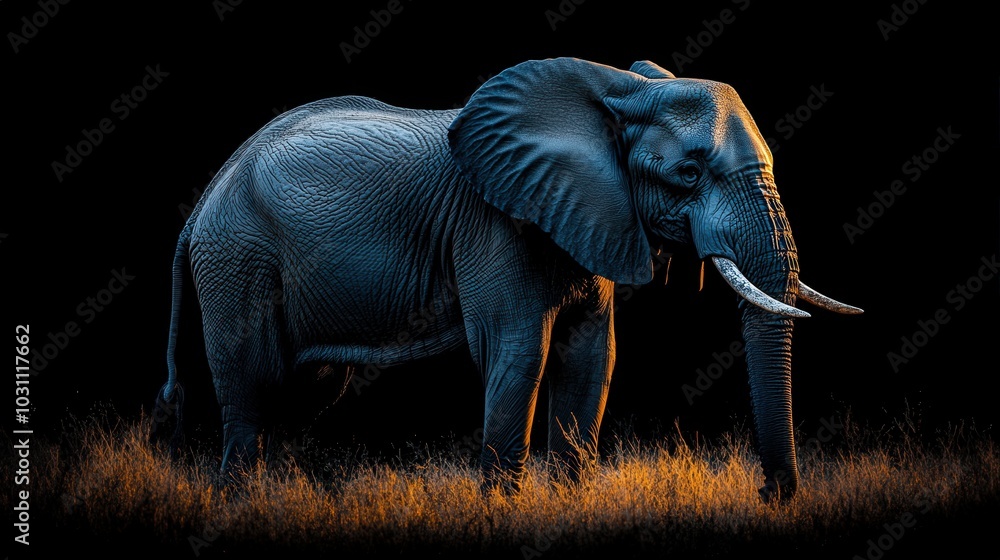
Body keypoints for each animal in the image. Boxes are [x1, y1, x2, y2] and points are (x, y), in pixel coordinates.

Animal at [151, 57, 862, 503]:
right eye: (688, 174)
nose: (770, 494)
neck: (613, 90)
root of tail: (203, 200)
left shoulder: (587, 215)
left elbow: (593, 357)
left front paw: (569, 505)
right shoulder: (496, 224)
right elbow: (520, 352)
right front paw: (500, 511)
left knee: (305, 387)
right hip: (238, 258)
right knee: (252, 382)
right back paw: (239, 503)